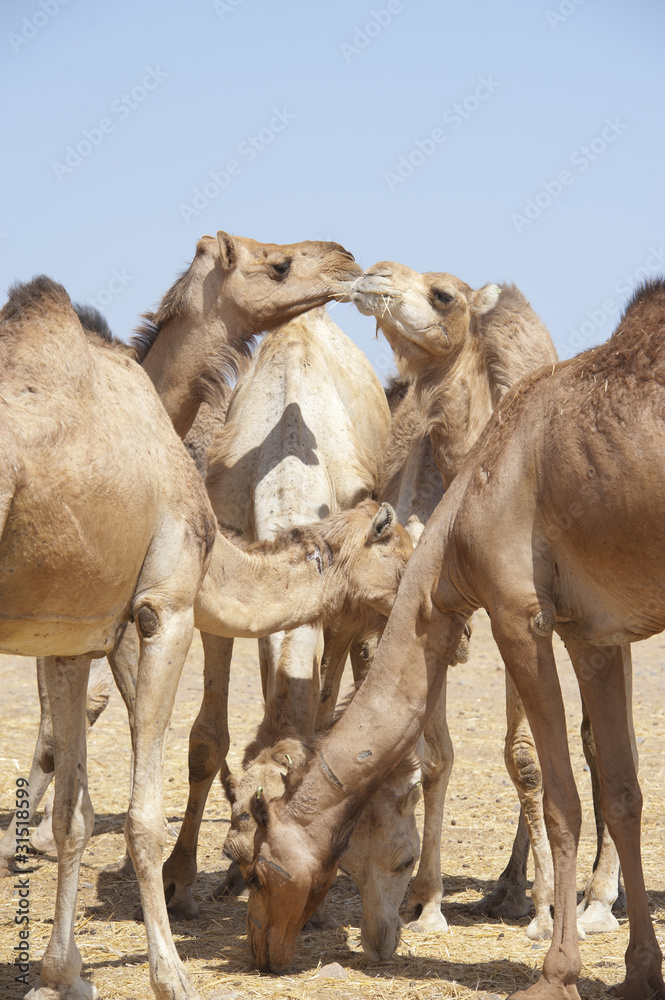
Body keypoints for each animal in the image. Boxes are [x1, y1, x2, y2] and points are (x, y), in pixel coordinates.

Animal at [242, 278, 665, 1000]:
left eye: (257, 868)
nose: (260, 949)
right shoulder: (594, 634)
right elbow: (620, 788)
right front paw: (641, 970)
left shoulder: (518, 614)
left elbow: (558, 793)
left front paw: (556, 969)